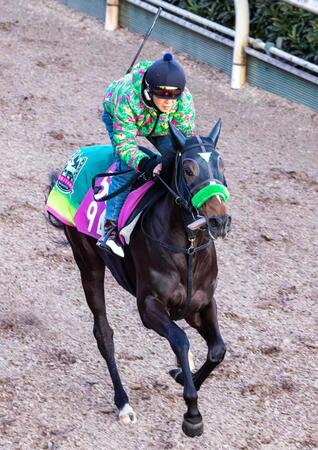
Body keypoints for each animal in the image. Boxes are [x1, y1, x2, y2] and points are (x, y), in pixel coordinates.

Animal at [47, 120, 231, 440]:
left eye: (220, 164)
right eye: (189, 169)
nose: (219, 220)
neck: (188, 249)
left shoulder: (200, 304)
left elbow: (217, 349)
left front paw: (182, 374)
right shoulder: (149, 306)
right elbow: (180, 340)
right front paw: (192, 414)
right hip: (88, 263)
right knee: (103, 333)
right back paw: (123, 403)